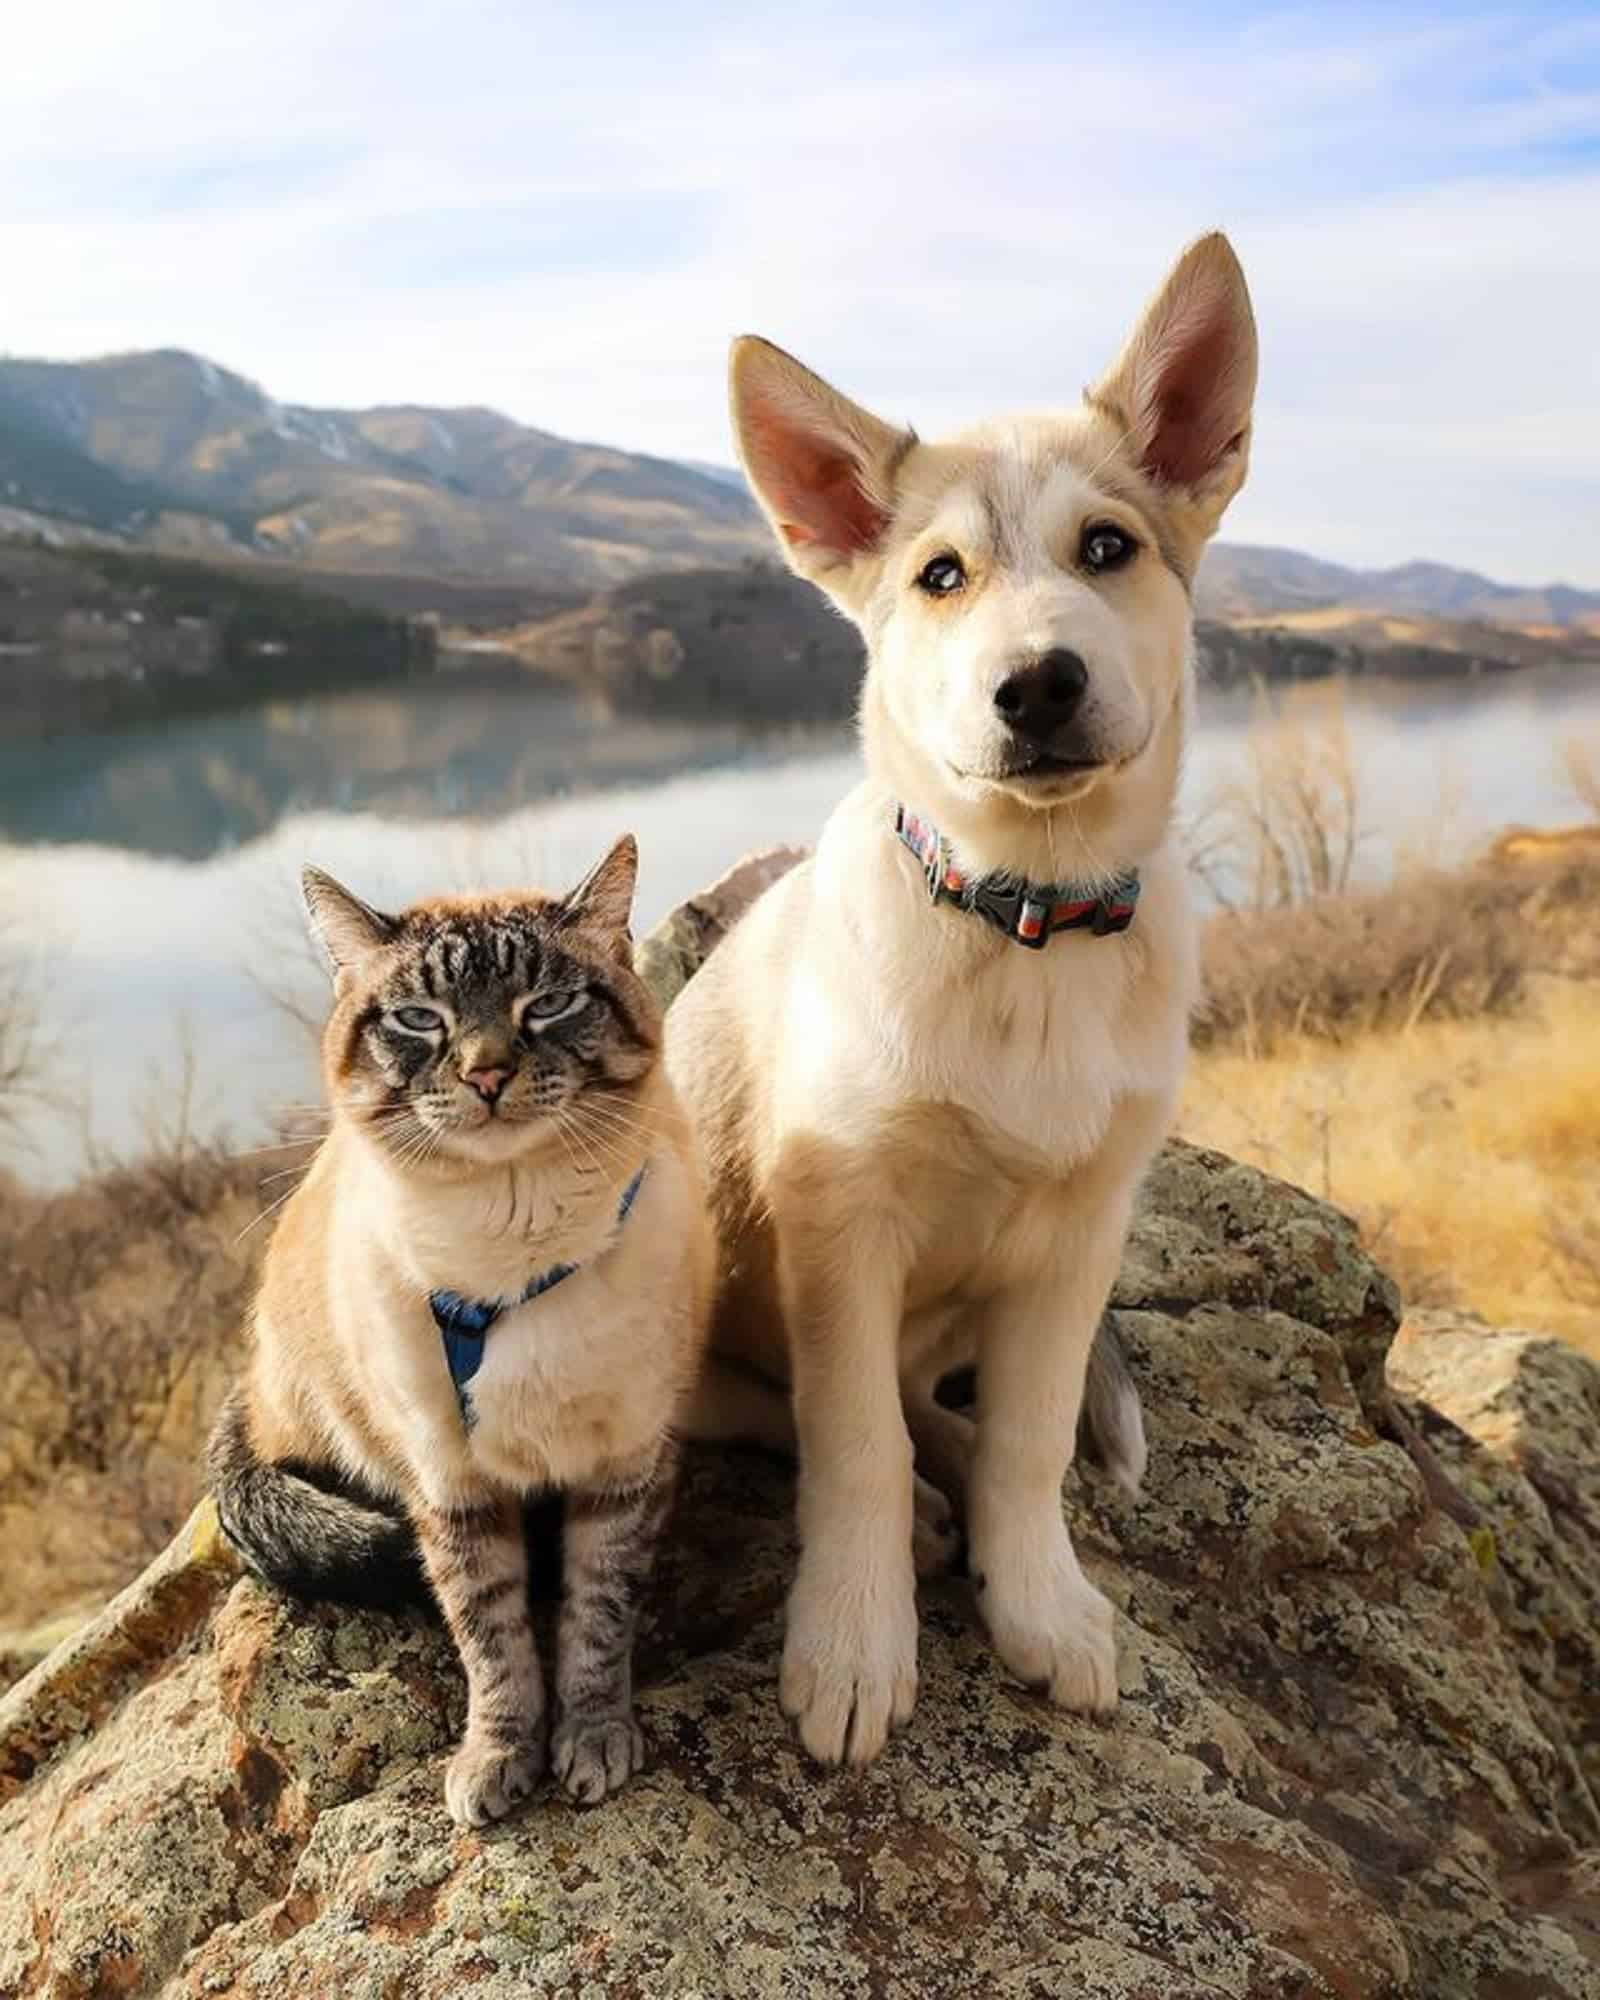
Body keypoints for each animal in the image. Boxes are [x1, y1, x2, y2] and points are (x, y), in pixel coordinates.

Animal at [209, 836, 708, 1824]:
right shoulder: (453, 1488)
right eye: (418, 1019)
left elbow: (595, 1618)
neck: (508, 1250)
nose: (485, 1074)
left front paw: (592, 1740)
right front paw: (498, 1758)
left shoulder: (623, 1468)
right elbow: (494, 1641)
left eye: (546, 1004)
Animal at [664, 234, 1248, 1760]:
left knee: (949, 1409)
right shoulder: (839, 1231)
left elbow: (1035, 1436)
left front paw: (1036, 1595)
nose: (1036, 684)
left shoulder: (1079, 1232)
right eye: (938, 576)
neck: (1027, 923)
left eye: (1107, 548)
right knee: (808, 1419)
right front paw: (853, 1644)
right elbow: (854, 1444)